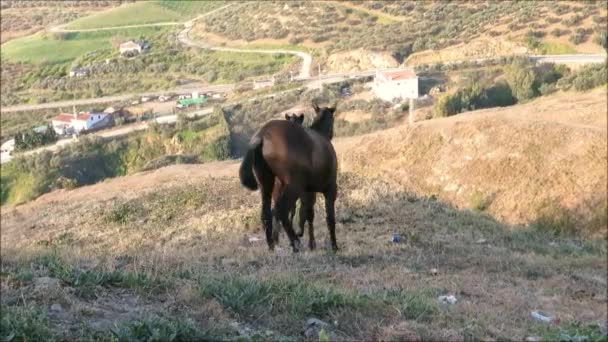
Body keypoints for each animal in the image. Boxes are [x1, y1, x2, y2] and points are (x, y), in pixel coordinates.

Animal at [240, 103, 340, 252]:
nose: (331, 134)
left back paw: (272, 245)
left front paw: (312, 243)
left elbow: (308, 214)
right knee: (281, 211)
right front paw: (334, 245)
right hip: (293, 186)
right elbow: (330, 218)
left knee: (267, 213)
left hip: (267, 185)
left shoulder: (308, 192)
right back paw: (294, 242)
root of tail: (262, 136)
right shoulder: (330, 188)